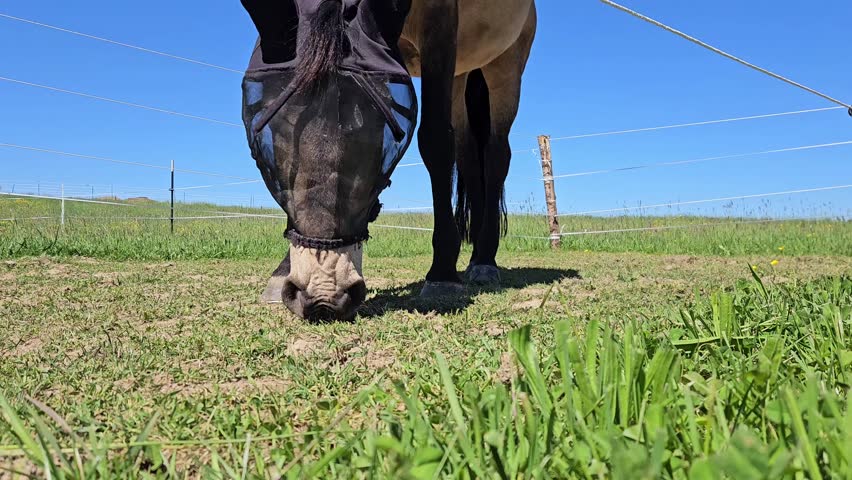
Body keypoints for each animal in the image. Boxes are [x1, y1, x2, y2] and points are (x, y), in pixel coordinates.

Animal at [239, 0, 537, 321]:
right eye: (271, 132)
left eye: (379, 133)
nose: (324, 297)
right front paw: (282, 270)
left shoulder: (440, 24)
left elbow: (435, 140)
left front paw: (442, 273)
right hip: (461, 73)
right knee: (468, 156)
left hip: (505, 66)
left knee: (496, 158)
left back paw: (484, 261)